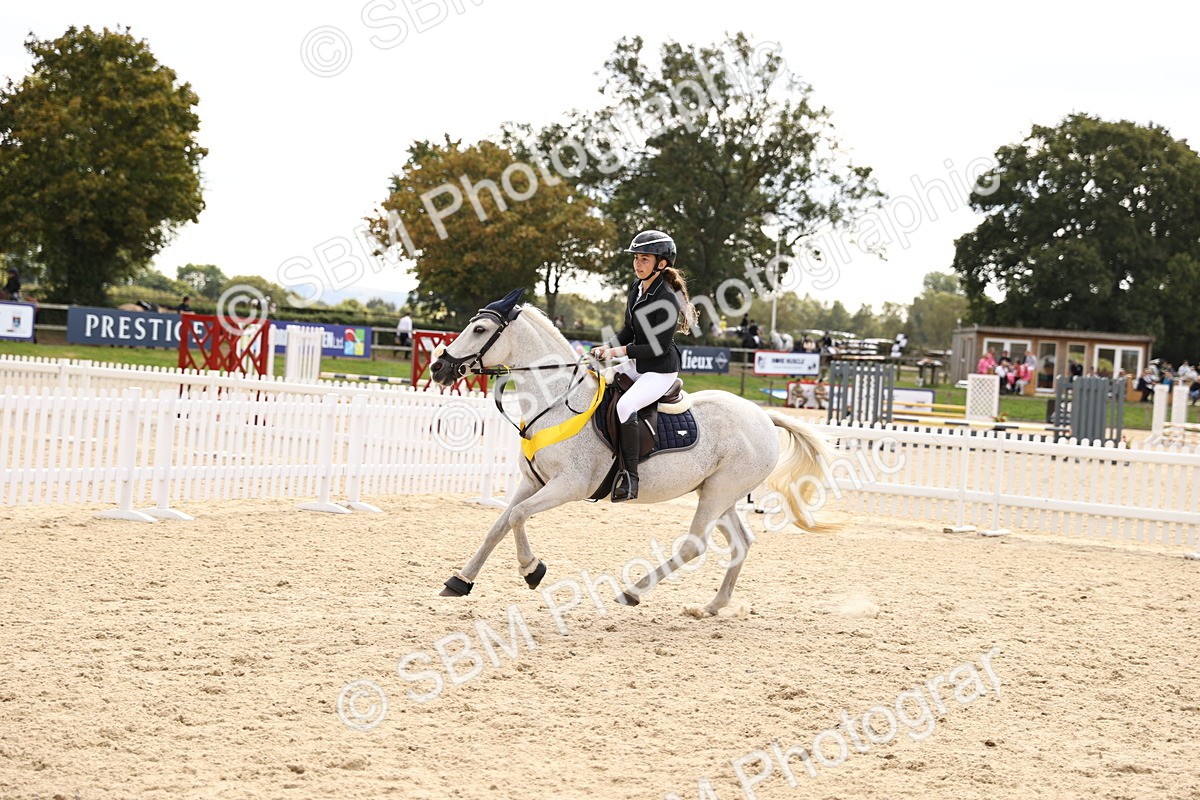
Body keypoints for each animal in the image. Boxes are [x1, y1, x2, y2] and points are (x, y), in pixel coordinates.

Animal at [429, 289, 832, 617]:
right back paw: (713, 606)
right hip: (721, 494)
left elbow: (517, 517)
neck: (557, 401)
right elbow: (500, 524)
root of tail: (762, 414)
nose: (438, 367)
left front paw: (533, 570)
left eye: (480, 330)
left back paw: (633, 592)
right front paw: (460, 580)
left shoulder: (568, 485)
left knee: (694, 545)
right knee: (741, 543)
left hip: (719, 492)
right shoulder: (533, 481)